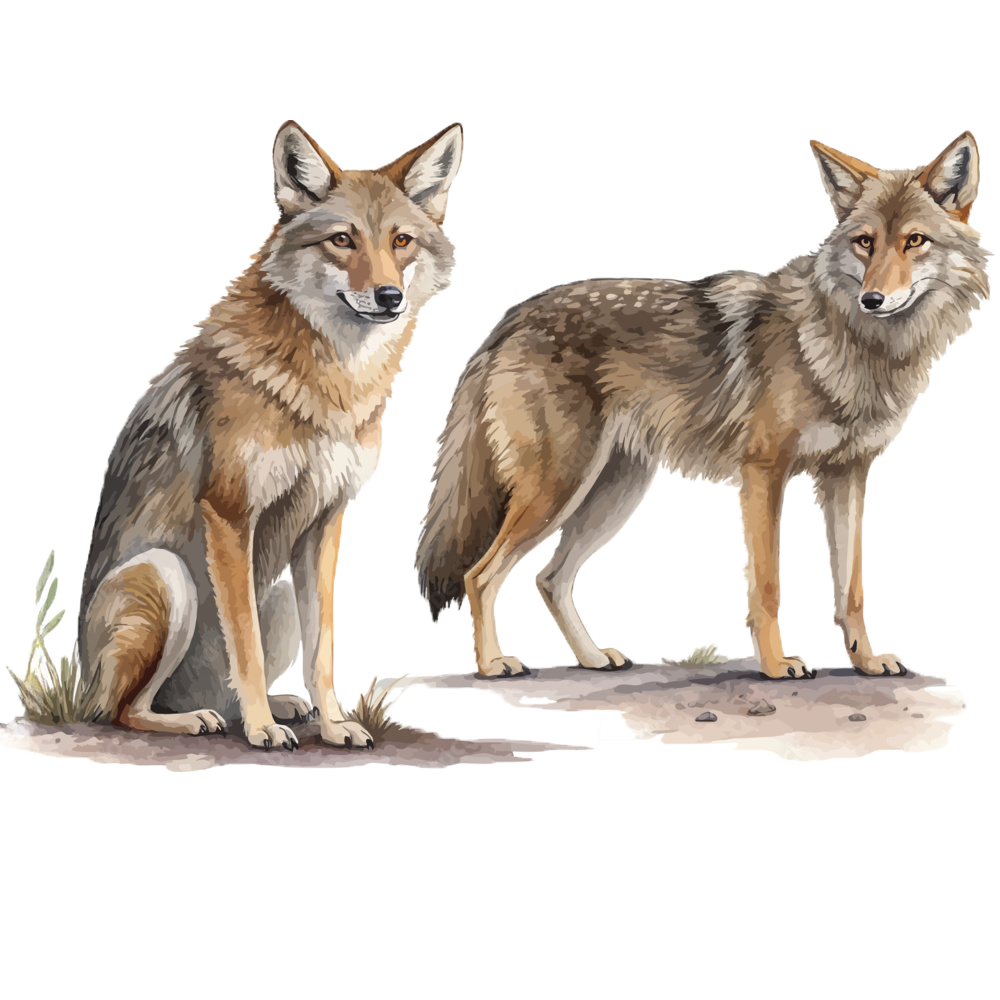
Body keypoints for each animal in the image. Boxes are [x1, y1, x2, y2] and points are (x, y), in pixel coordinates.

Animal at [80, 120, 463, 749]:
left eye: (401, 241)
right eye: (342, 240)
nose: (390, 297)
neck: (332, 385)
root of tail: (77, 679)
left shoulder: (325, 521)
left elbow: (321, 650)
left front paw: (332, 724)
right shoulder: (230, 514)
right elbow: (247, 646)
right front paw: (262, 729)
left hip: (276, 592)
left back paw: (274, 708)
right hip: (168, 575)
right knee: (120, 710)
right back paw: (198, 719)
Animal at [416, 132, 989, 680]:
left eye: (914, 241)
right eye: (865, 243)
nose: (873, 299)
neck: (854, 345)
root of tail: (506, 321)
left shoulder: (848, 475)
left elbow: (852, 590)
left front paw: (866, 663)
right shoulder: (764, 472)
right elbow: (768, 587)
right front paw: (776, 667)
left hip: (612, 494)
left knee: (549, 578)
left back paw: (593, 657)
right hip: (558, 490)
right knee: (480, 574)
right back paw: (493, 665)